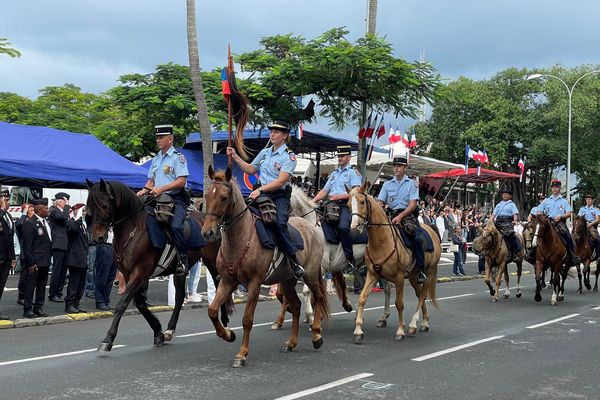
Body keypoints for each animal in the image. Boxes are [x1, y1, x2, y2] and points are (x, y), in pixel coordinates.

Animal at [85, 180, 231, 352]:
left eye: (104, 205)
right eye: (89, 206)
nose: (97, 237)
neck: (133, 229)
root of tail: (212, 223)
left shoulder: (139, 273)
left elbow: (122, 304)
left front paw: (108, 339)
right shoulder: (129, 275)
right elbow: (140, 304)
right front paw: (158, 331)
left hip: (212, 262)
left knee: (219, 284)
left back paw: (225, 324)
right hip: (181, 271)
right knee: (179, 298)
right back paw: (169, 330)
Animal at [200, 167, 328, 368]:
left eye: (223, 197)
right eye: (207, 195)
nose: (208, 232)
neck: (241, 238)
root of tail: (312, 228)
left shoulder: (254, 283)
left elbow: (247, 319)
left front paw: (242, 354)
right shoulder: (228, 282)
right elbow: (212, 311)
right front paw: (228, 334)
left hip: (311, 275)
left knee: (319, 297)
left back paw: (316, 335)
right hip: (288, 281)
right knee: (296, 306)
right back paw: (291, 342)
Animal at [346, 184, 440, 344]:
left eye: (362, 202)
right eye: (347, 204)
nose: (354, 227)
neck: (382, 241)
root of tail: (431, 229)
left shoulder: (399, 278)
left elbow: (399, 303)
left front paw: (400, 331)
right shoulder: (372, 275)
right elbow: (362, 298)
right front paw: (358, 331)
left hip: (429, 272)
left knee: (422, 295)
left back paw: (413, 324)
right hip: (414, 276)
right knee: (420, 294)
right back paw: (424, 322)